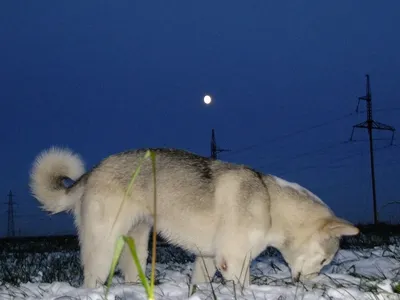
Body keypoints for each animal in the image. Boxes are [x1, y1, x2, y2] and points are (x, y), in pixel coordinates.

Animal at [28, 146, 360, 290]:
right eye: (325, 260)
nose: (308, 284)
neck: (269, 203)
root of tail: (92, 171)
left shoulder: (209, 259)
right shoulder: (233, 261)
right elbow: (244, 288)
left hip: (137, 243)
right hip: (105, 244)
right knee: (92, 279)